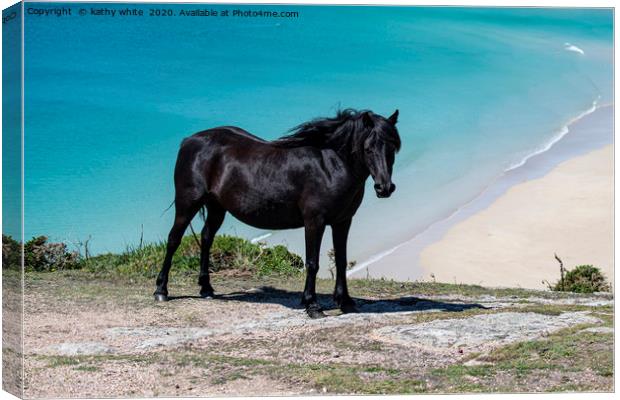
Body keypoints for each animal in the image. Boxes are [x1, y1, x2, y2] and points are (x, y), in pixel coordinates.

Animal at [153, 109, 400, 318]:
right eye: (368, 148)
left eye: (392, 148)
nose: (384, 188)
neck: (330, 166)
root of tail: (189, 141)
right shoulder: (314, 221)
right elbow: (312, 263)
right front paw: (312, 305)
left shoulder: (342, 221)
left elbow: (341, 261)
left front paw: (346, 302)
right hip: (188, 203)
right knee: (174, 240)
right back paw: (161, 290)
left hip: (216, 207)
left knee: (206, 238)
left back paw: (206, 288)